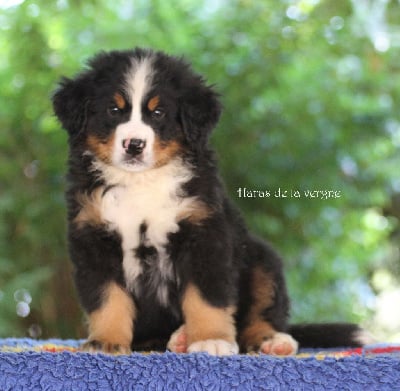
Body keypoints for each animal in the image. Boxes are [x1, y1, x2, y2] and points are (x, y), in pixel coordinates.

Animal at [51, 48, 368, 356]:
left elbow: (206, 298)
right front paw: (106, 341)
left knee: (260, 314)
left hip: (261, 260)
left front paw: (210, 339)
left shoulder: (205, 235)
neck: (140, 183)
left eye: (159, 113)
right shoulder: (93, 239)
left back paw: (271, 341)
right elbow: (107, 298)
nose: (134, 145)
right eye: (114, 109)